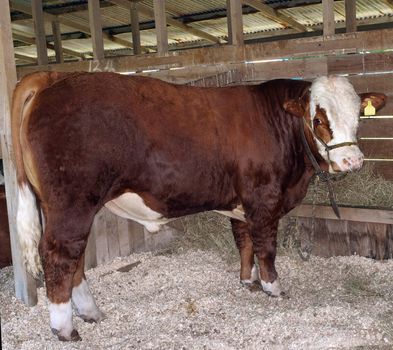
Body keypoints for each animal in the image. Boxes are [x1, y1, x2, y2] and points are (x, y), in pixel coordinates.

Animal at [12, 71, 386, 340]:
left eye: (358, 116)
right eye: (318, 119)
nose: (353, 161)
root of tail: (55, 77)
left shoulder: (241, 204)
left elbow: (244, 242)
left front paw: (247, 281)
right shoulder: (264, 199)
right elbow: (266, 247)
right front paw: (273, 289)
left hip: (69, 207)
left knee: (75, 257)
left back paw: (90, 312)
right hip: (72, 203)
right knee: (59, 255)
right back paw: (65, 328)